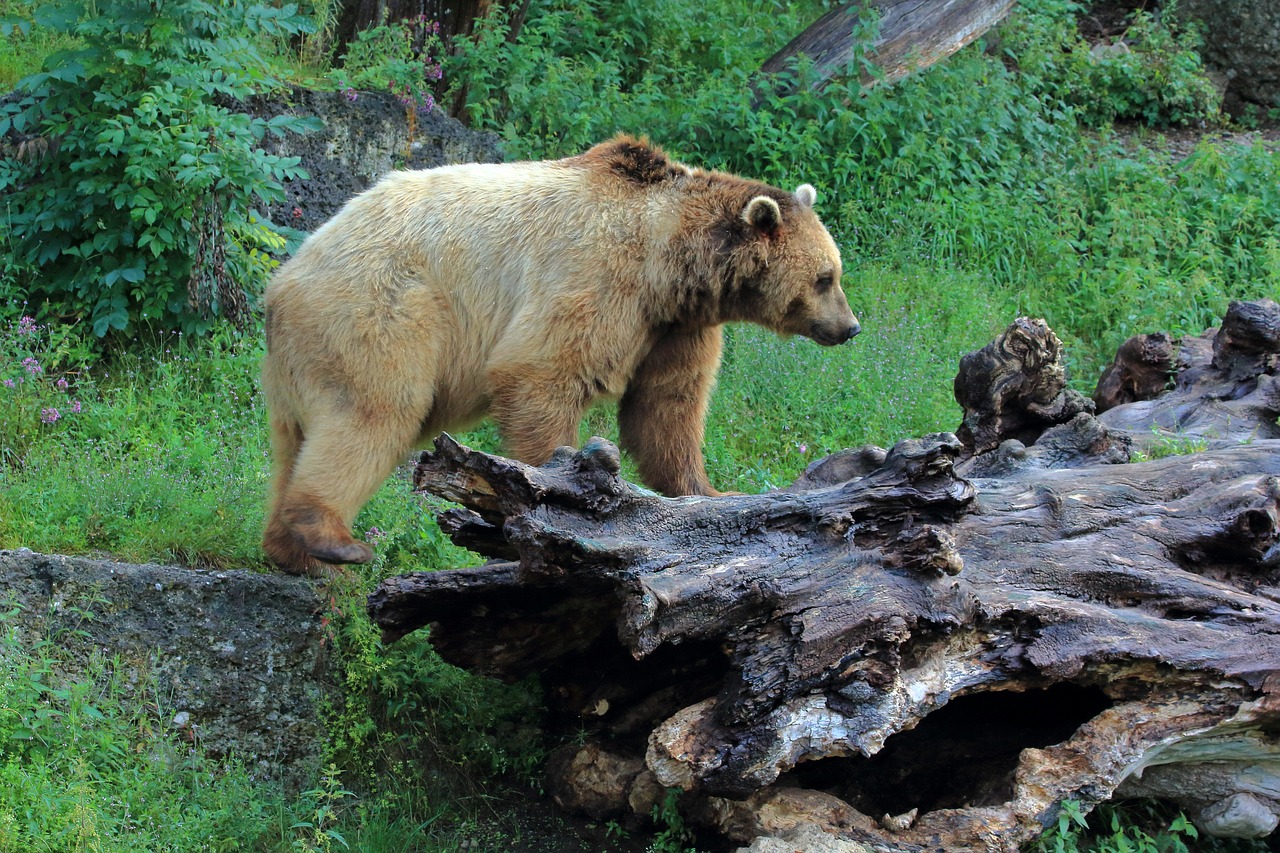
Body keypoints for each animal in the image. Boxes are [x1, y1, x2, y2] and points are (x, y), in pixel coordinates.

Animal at [259, 134, 860, 571]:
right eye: (825, 277)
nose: (851, 327)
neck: (669, 259)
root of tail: (283, 282)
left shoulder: (672, 327)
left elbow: (665, 409)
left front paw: (710, 491)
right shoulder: (598, 277)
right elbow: (541, 375)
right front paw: (556, 495)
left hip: (302, 356)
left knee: (296, 442)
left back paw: (292, 551)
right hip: (383, 308)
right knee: (374, 412)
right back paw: (334, 539)